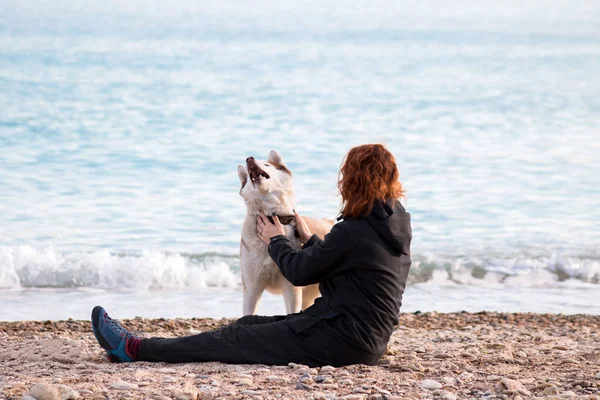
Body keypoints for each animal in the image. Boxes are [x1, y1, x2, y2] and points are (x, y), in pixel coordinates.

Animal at [238, 150, 332, 316]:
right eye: (248, 176)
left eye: (267, 164)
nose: (249, 159)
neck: (273, 217)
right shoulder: (252, 288)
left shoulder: (291, 289)